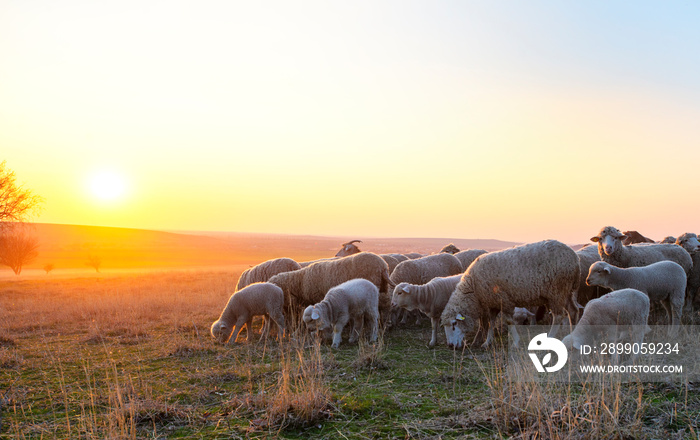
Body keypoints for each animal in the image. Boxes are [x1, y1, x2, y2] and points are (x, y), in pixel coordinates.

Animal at [442, 239, 580, 348]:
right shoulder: (493, 303)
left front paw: (516, 342)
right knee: (573, 311)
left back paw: (551, 337)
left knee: (558, 316)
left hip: (556, 291)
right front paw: (487, 342)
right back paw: (572, 335)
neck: (474, 288)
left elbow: (509, 322)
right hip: (565, 292)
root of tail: (574, 257)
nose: (450, 346)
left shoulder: (504, 300)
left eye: (454, 324)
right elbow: (491, 322)